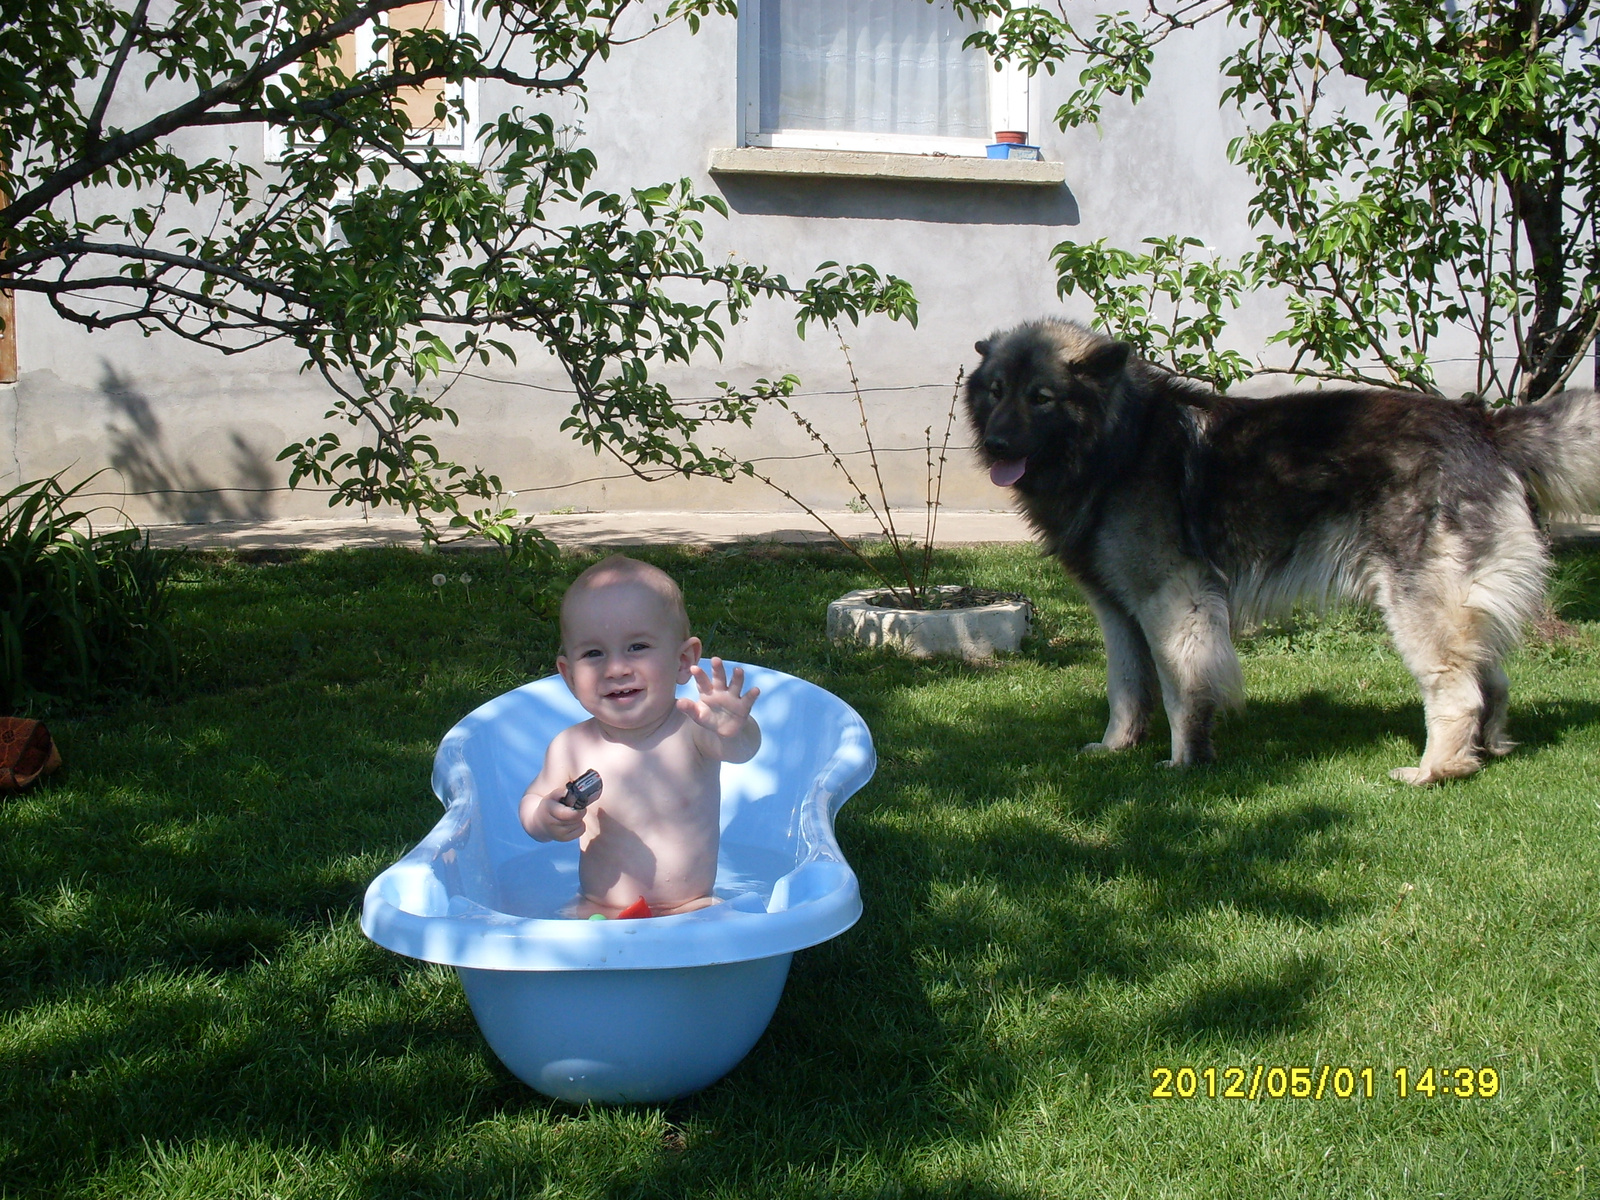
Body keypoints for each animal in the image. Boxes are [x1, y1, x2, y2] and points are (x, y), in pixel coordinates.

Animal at [960, 321, 1600, 790]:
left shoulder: (1173, 599)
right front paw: (1118, 747)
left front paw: (1185, 760)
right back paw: (1484, 752)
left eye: (1041, 398)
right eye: (996, 392)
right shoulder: (1118, 609)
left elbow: (1179, 688)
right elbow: (1126, 685)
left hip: (1417, 603)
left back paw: (1434, 770)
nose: (995, 442)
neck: (1120, 442)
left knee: (1459, 689)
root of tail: (1484, 423)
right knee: (1491, 678)